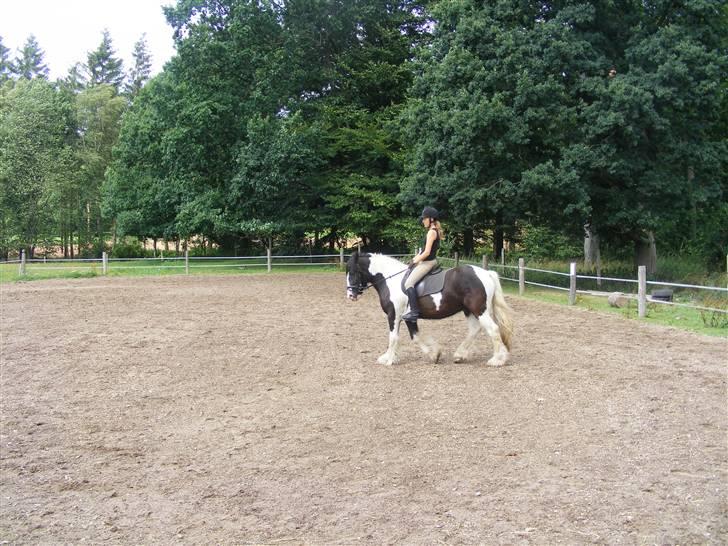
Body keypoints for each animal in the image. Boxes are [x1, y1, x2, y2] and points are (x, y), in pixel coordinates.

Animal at [346, 251, 512, 366]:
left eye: (353, 272)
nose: (350, 295)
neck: (391, 280)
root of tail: (486, 273)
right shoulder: (408, 317)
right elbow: (415, 336)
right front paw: (434, 354)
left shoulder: (393, 315)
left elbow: (393, 337)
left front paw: (389, 360)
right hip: (469, 310)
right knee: (474, 329)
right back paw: (460, 355)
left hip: (479, 310)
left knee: (493, 329)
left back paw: (497, 360)